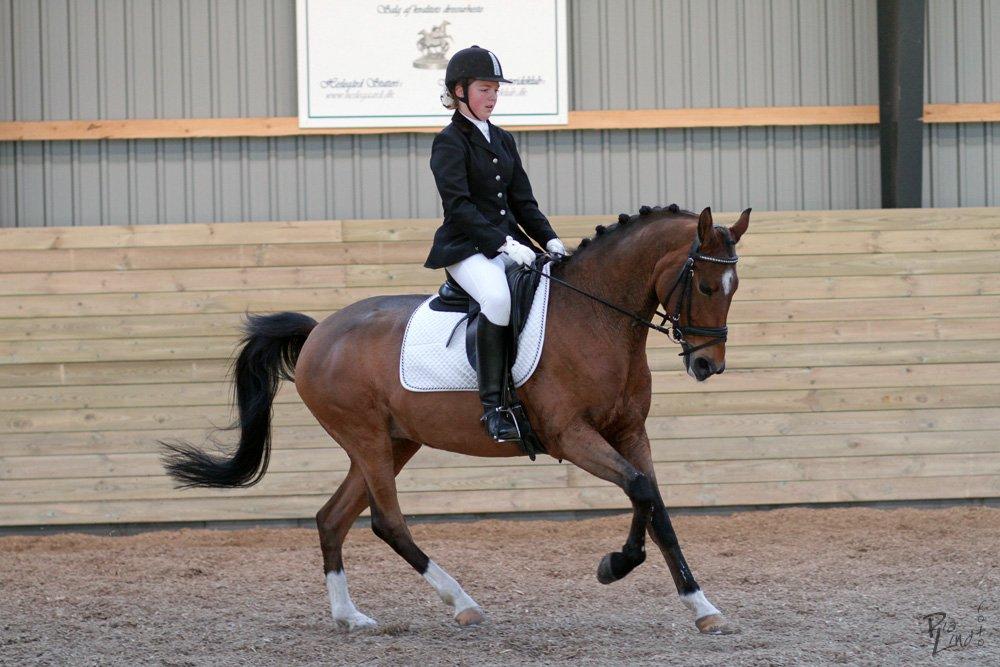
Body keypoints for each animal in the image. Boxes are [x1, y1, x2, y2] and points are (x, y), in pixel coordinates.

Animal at [162, 204, 750, 634]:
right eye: (703, 286)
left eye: (734, 289)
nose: (707, 365)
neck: (596, 317)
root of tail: (318, 332)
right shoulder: (571, 436)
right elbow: (639, 491)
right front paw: (616, 564)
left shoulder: (629, 432)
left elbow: (654, 503)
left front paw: (702, 607)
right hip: (368, 439)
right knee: (386, 522)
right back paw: (462, 602)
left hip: (394, 443)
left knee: (332, 518)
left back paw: (350, 617)